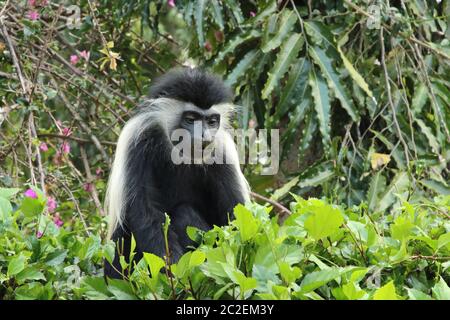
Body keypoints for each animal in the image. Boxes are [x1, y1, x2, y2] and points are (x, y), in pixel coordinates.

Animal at [103, 68, 250, 280]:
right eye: (191, 119)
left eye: (211, 121)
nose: (204, 137)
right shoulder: (137, 141)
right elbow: (145, 210)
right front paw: (173, 272)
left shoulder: (222, 151)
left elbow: (235, 213)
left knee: (184, 214)